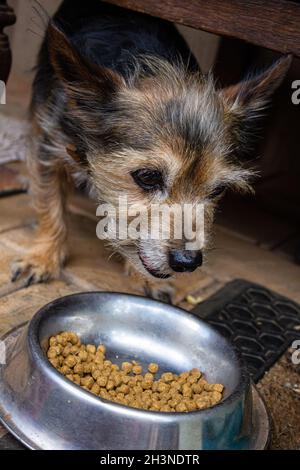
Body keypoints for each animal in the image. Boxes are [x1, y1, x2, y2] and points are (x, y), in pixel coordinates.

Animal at [11, 0, 290, 300]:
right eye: (148, 177)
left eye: (217, 190)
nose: (187, 262)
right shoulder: (50, 145)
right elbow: (51, 205)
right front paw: (44, 255)